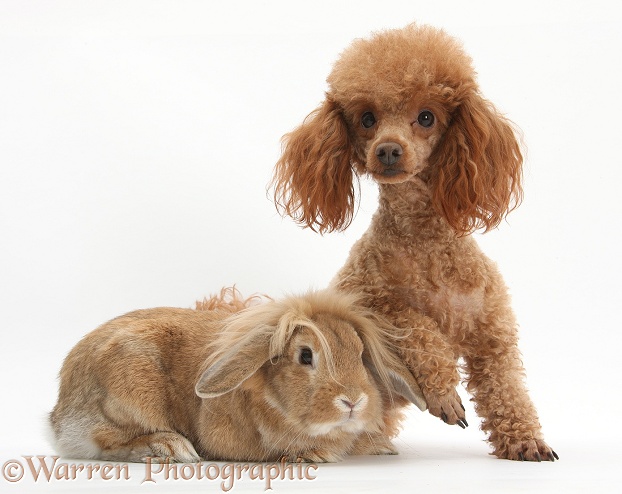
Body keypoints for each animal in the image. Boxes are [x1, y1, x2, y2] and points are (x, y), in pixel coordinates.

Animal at [51, 290, 426, 464]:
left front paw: (381, 447)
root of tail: (60, 415)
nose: (353, 401)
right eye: (306, 355)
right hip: (127, 396)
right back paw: (170, 447)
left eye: (360, 354)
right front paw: (317, 454)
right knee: (108, 443)